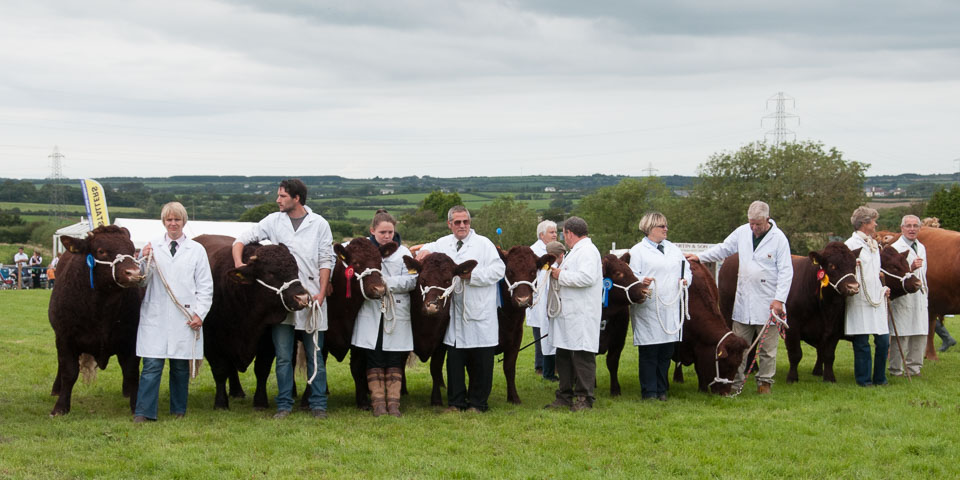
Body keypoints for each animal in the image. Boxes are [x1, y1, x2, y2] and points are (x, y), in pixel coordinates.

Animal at [48, 226, 142, 416]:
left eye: (131, 250)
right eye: (101, 251)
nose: (133, 274)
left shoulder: (131, 339)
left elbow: (131, 371)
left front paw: (136, 405)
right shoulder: (64, 337)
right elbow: (69, 371)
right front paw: (60, 407)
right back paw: (56, 389)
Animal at [195, 234, 312, 410]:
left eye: (296, 269)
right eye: (270, 273)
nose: (302, 297)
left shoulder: (267, 339)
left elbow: (262, 369)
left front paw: (260, 401)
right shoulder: (210, 340)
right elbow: (220, 370)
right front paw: (221, 402)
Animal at [404, 253, 478, 406]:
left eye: (448, 280)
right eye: (422, 278)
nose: (432, 306)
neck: (427, 327)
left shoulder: (441, 343)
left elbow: (435, 367)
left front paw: (436, 399)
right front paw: (402, 391)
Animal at [496, 246, 556, 404]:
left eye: (533, 271)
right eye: (509, 271)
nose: (522, 300)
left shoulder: (516, 338)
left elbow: (509, 368)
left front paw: (514, 397)